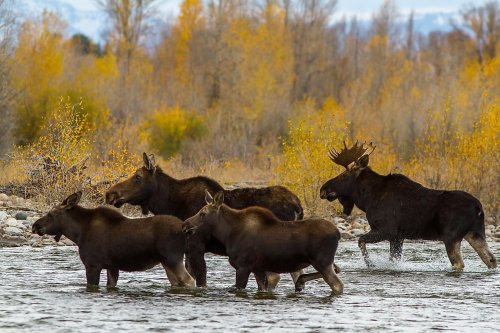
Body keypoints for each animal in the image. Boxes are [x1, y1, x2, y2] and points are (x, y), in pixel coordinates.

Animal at [31, 192, 195, 288]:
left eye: (51, 214)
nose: (35, 226)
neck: (78, 234)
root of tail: (184, 228)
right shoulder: (112, 266)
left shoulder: (92, 265)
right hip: (166, 262)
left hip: (173, 258)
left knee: (189, 280)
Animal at [104, 153, 304, 288]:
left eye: (137, 177)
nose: (110, 194)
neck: (169, 204)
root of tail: (298, 206)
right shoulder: (186, 250)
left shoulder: (196, 247)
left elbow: (200, 280)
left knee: (276, 277)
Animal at [183, 189, 344, 294]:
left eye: (202, 213)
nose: (185, 224)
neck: (227, 234)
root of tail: (338, 233)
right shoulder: (258, 268)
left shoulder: (243, 267)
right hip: (323, 261)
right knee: (336, 270)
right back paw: (300, 282)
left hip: (322, 262)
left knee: (338, 284)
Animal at [320, 140, 496, 270]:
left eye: (344, 175)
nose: (323, 189)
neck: (367, 199)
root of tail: (478, 208)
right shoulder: (398, 236)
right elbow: (393, 259)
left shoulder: (387, 230)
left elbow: (360, 241)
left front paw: (371, 264)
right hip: (475, 233)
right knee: (491, 260)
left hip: (451, 236)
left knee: (460, 263)